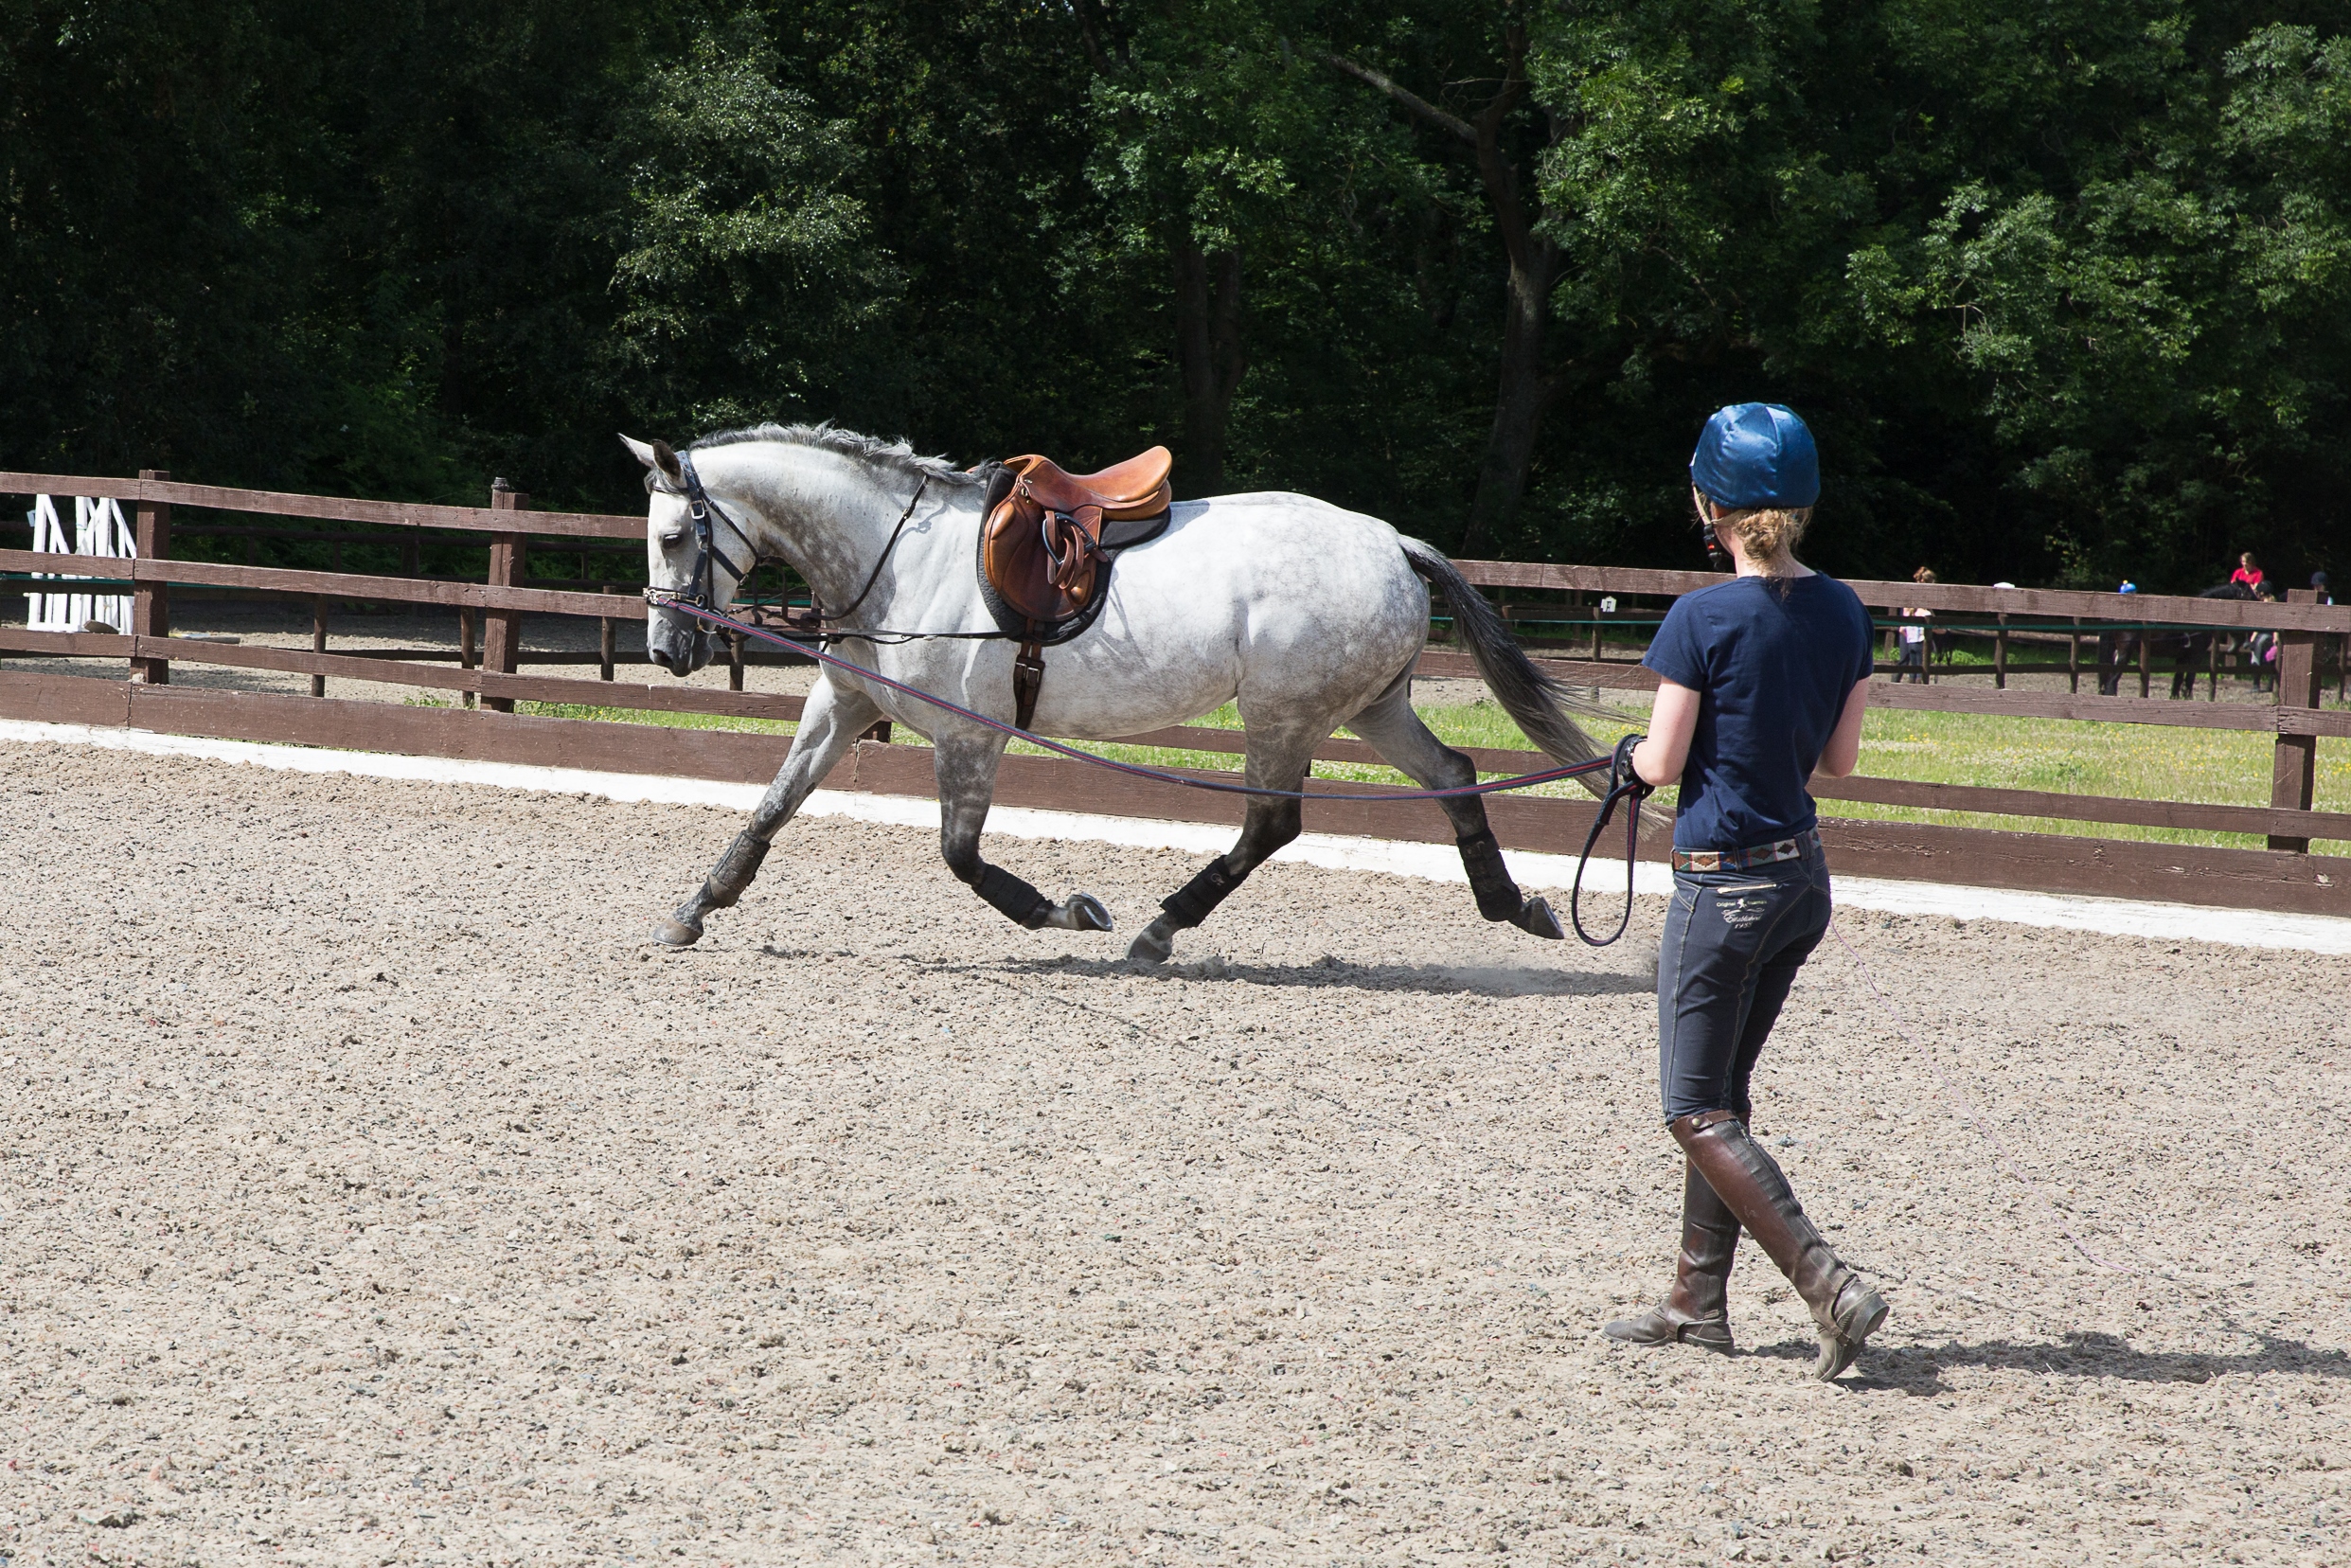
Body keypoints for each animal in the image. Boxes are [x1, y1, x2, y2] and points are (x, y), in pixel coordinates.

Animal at [623, 424, 1607, 963]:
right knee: (1453, 774)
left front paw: (1065, 911)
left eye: (673, 536)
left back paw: (1160, 929)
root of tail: (1391, 541)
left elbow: (960, 856)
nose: (666, 652)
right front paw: (694, 911)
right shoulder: (845, 707)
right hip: (1372, 707)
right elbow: (771, 807)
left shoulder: (970, 737)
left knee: (1272, 824)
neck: (895, 556)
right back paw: (1512, 905)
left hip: (1282, 713)